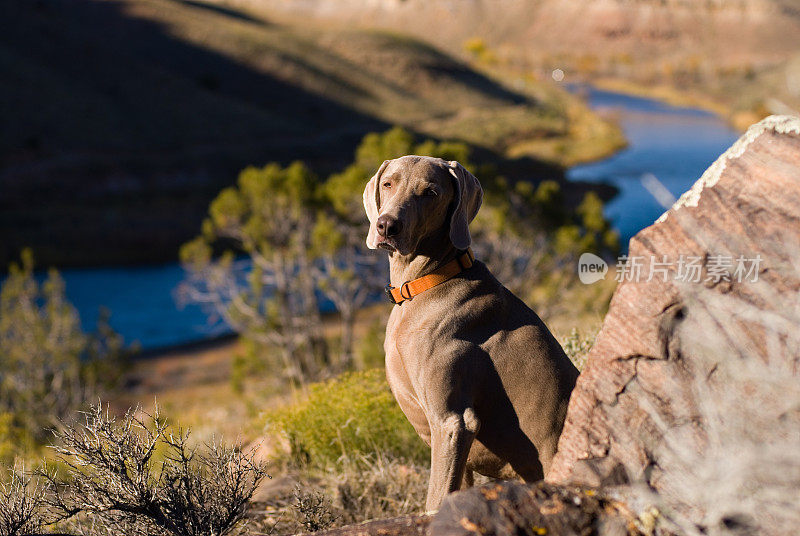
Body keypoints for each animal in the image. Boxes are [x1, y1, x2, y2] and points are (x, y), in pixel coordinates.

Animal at [364, 156, 580, 510]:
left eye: (430, 193)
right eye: (388, 184)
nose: (386, 226)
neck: (425, 284)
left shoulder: (453, 423)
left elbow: (436, 499)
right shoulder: (454, 448)